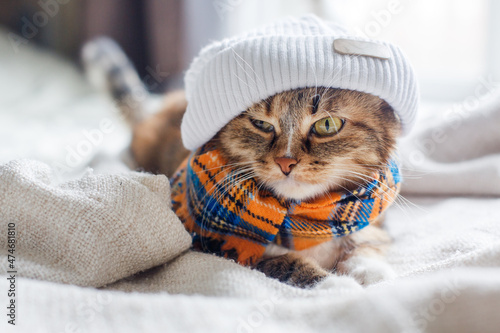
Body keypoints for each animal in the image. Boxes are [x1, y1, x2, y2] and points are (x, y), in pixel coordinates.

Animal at [84, 35, 400, 286]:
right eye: (261, 124)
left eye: (327, 125)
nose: (285, 163)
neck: (304, 224)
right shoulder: (227, 250)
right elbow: (290, 264)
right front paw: (337, 285)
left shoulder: (373, 222)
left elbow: (368, 242)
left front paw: (371, 272)